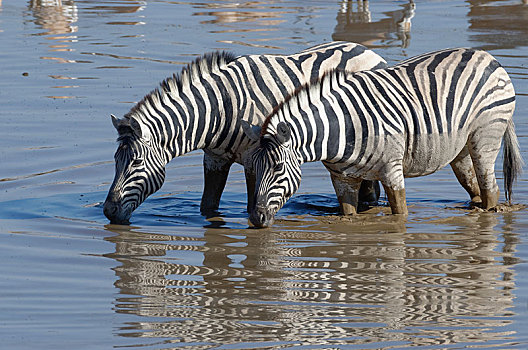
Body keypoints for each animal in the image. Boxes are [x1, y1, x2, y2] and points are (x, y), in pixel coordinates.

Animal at [103, 41, 386, 223]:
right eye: (115, 161)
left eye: (136, 162)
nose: (108, 212)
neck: (220, 110)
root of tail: (366, 49)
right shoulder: (214, 158)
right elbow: (208, 205)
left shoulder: (255, 159)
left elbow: (253, 202)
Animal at [244, 47, 524, 228]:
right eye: (253, 168)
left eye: (278, 167)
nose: (256, 219)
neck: (339, 127)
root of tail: (487, 56)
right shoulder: (342, 178)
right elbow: (349, 214)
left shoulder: (392, 170)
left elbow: (399, 214)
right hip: (460, 149)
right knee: (474, 186)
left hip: (485, 136)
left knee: (491, 190)